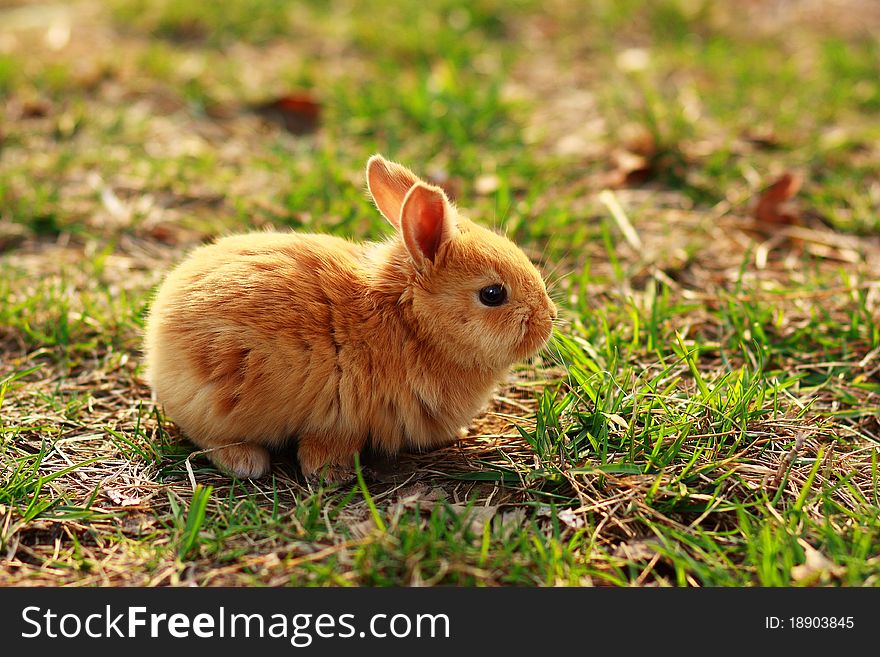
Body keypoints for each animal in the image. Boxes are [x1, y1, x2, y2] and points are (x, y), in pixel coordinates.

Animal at [144, 156, 556, 480]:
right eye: (492, 294)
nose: (548, 319)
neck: (410, 323)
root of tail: (157, 335)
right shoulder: (340, 419)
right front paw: (332, 474)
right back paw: (246, 462)